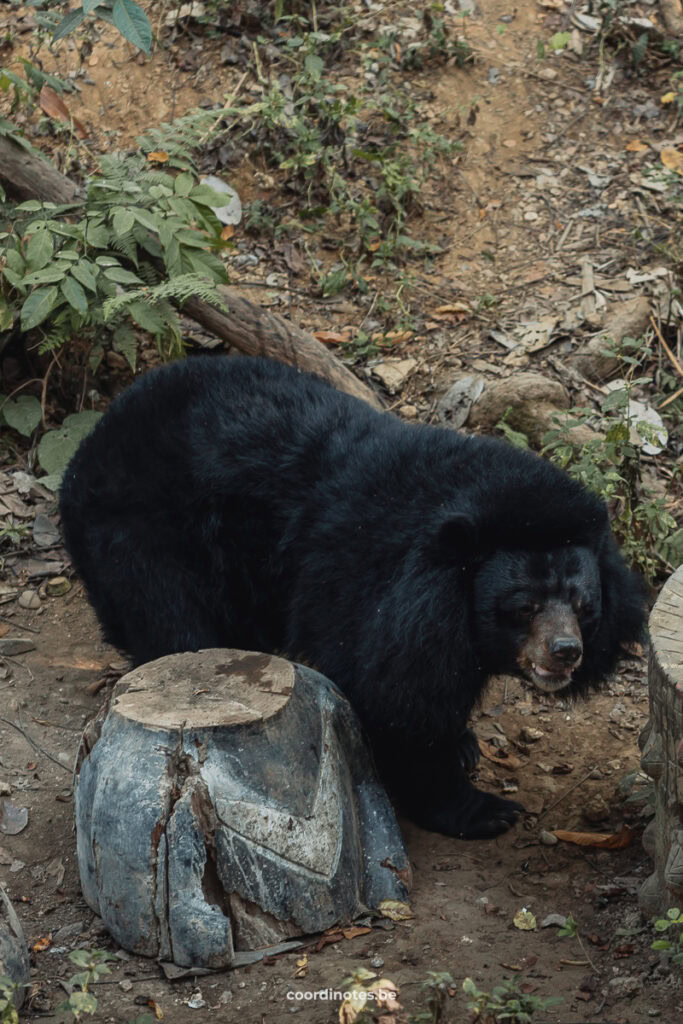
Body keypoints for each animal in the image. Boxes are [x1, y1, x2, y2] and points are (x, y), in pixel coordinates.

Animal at [58, 356, 647, 835]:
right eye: (524, 607)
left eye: (584, 606)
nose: (565, 653)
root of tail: (93, 440)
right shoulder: (374, 591)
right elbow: (394, 700)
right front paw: (481, 810)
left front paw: (463, 744)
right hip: (144, 535)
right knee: (175, 623)